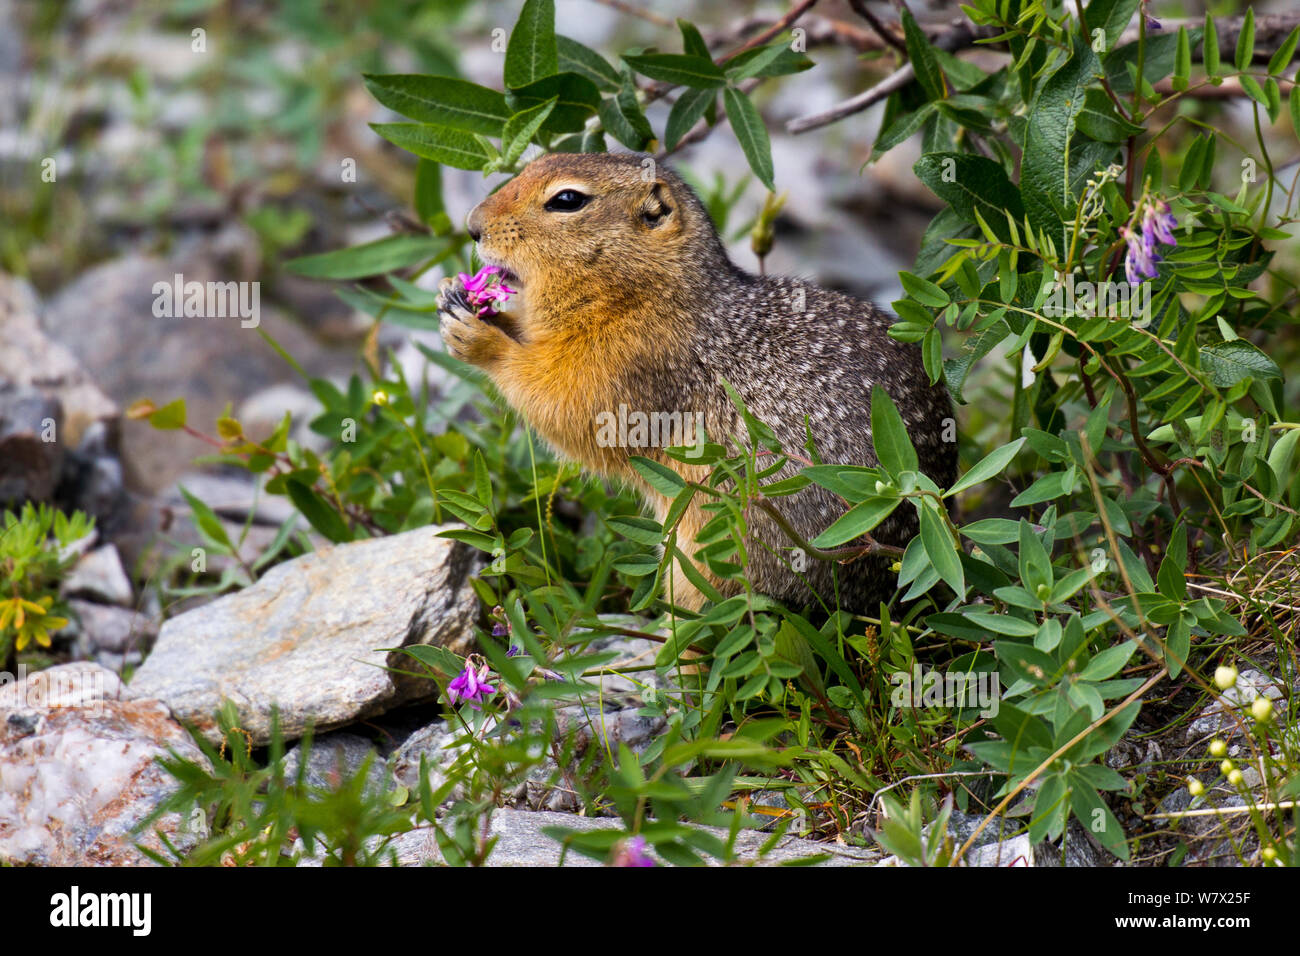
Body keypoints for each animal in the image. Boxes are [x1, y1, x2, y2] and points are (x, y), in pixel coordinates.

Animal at [437, 152, 957, 615]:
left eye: (567, 200)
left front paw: (479, 337)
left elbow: (565, 404)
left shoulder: (631, 363)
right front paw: (456, 295)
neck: (645, 293)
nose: (472, 224)